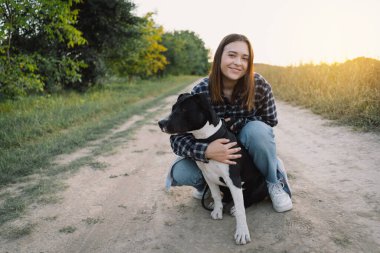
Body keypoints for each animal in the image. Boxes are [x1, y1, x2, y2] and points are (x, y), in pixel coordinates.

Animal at [157, 93, 268, 245]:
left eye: (184, 110)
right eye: (173, 108)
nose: (161, 123)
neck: (208, 139)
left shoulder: (233, 180)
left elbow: (241, 210)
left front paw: (242, 232)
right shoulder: (208, 175)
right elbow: (215, 195)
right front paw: (217, 210)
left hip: (261, 186)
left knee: (248, 200)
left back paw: (234, 207)